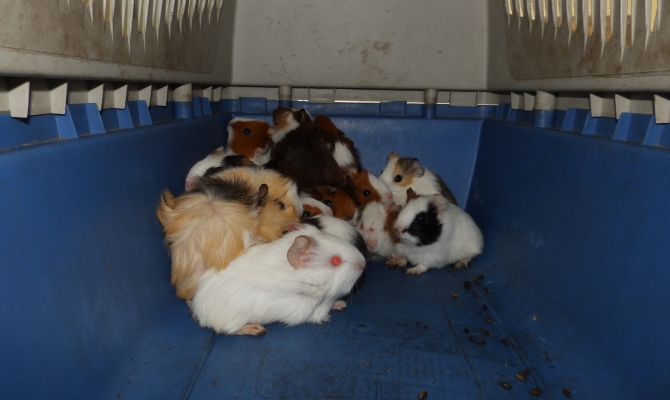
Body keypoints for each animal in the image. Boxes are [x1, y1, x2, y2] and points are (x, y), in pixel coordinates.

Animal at [191, 224, 366, 336]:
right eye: (336, 260)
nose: (363, 263)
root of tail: (198, 307)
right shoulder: (304, 310)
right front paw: (328, 317)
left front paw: (340, 304)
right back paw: (257, 330)